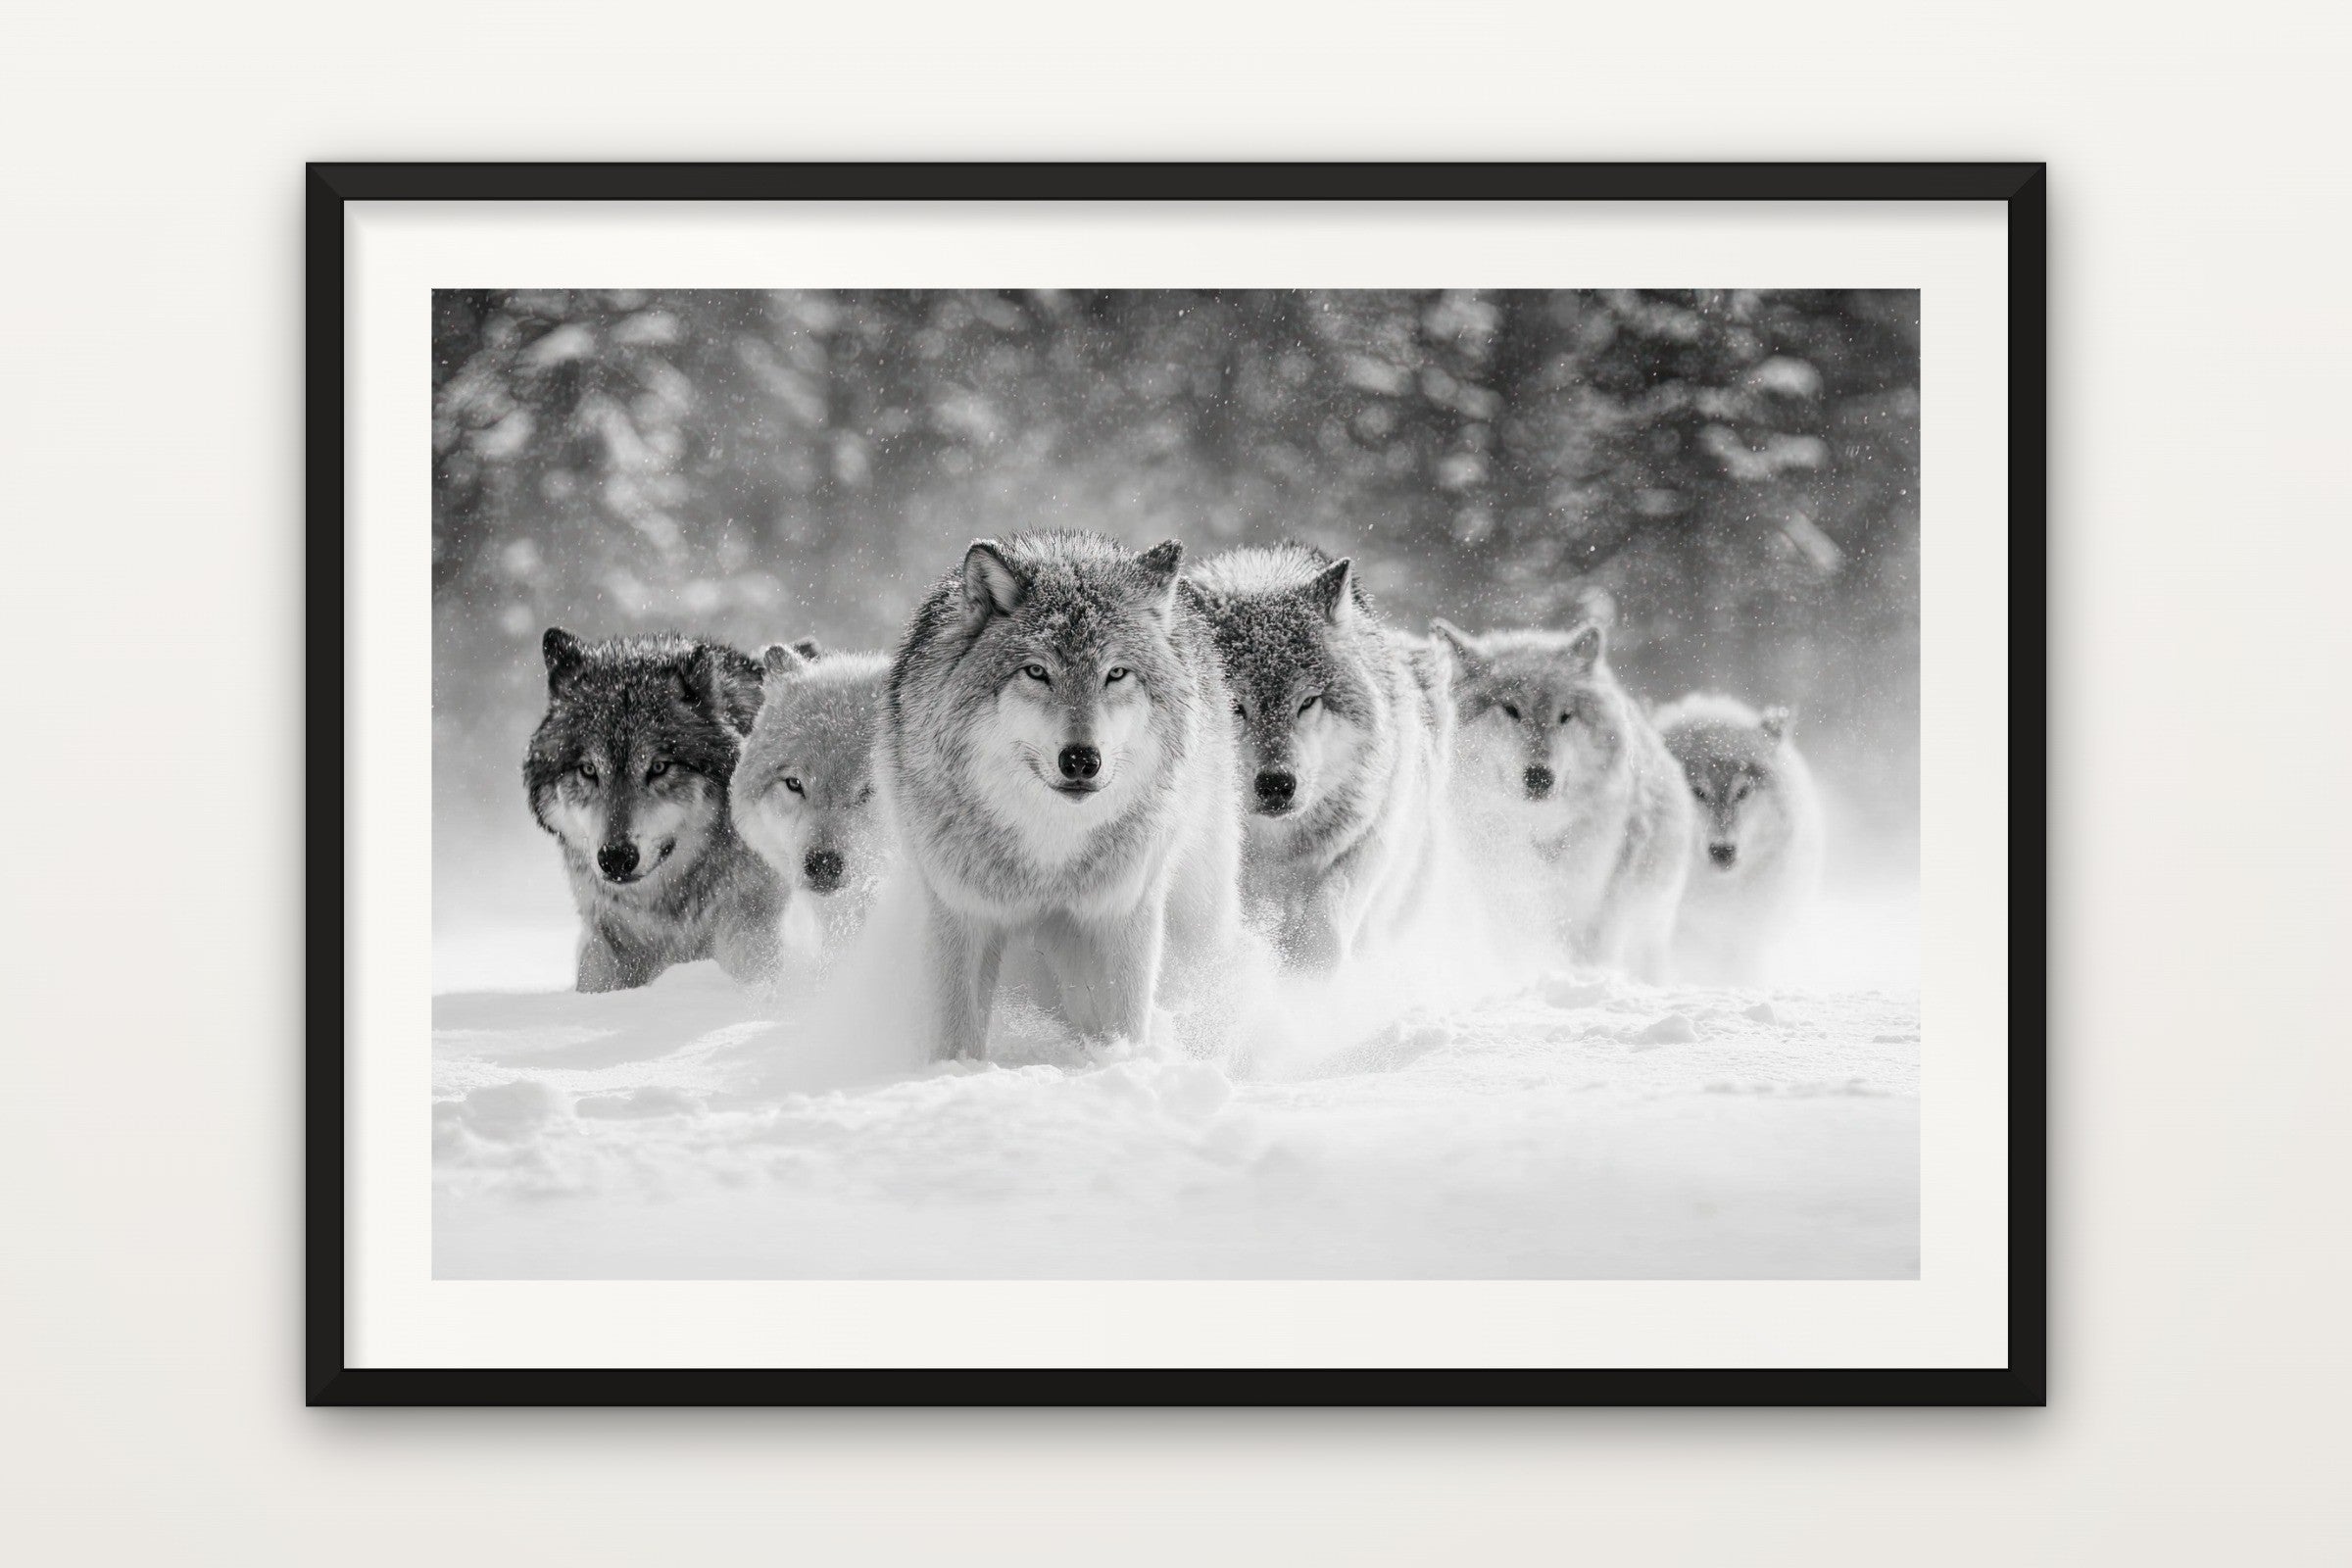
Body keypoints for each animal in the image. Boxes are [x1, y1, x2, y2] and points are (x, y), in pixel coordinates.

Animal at [524, 628, 781, 991]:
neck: (665, 912)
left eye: (659, 767)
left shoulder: (748, 925)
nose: (616, 857)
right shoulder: (603, 943)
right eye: (588, 770)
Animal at [880, 531, 1244, 1061]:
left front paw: (1123, 1061)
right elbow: (956, 1030)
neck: (1051, 845)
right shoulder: (961, 912)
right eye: (1036, 672)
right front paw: (956, 1074)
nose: (1080, 761)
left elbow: (1126, 1015)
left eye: (1116, 673)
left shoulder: (1123, 911)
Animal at [1187, 543, 1451, 971]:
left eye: (1308, 701)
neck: (1275, 846)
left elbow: (1327, 920)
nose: (1276, 784)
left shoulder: (1371, 836)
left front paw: (1309, 976)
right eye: (1234, 706)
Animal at [1432, 609, 1693, 978]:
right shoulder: (1504, 907)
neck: (1538, 832)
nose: (1540, 777)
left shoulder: (1586, 912)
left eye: (1565, 716)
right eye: (1511, 709)